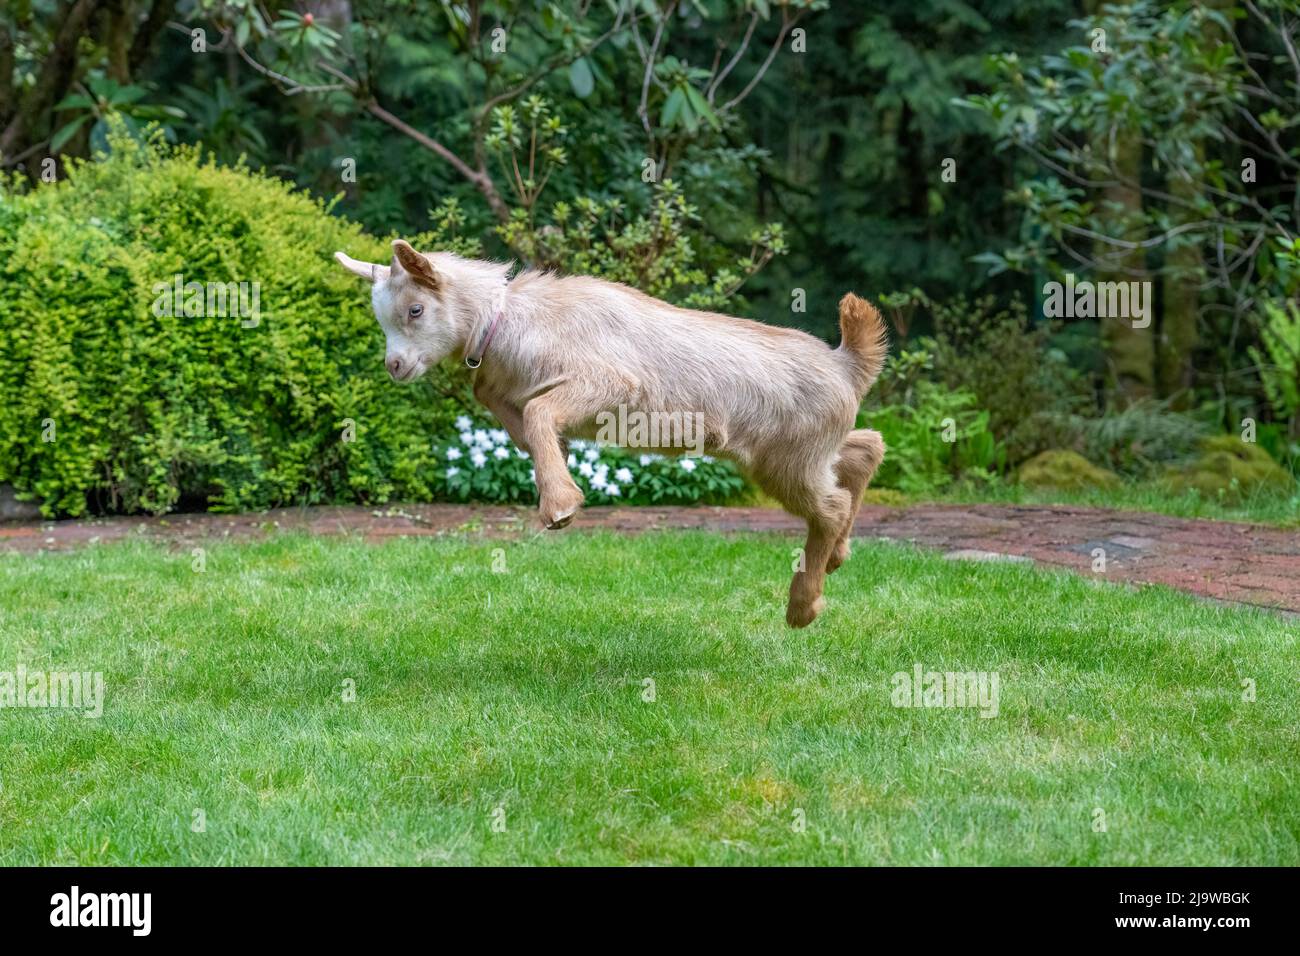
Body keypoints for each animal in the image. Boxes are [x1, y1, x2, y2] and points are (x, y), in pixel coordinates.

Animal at [332, 240, 894, 629]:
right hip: (799, 452)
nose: (395, 366)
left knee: (831, 505)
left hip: (786, 462)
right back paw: (838, 556)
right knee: (864, 450)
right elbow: (524, 422)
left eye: (415, 310)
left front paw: (560, 505)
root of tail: (846, 365)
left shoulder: (610, 384)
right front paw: (556, 474)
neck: (507, 320)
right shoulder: (502, 391)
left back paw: (803, 605)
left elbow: (538, 412)